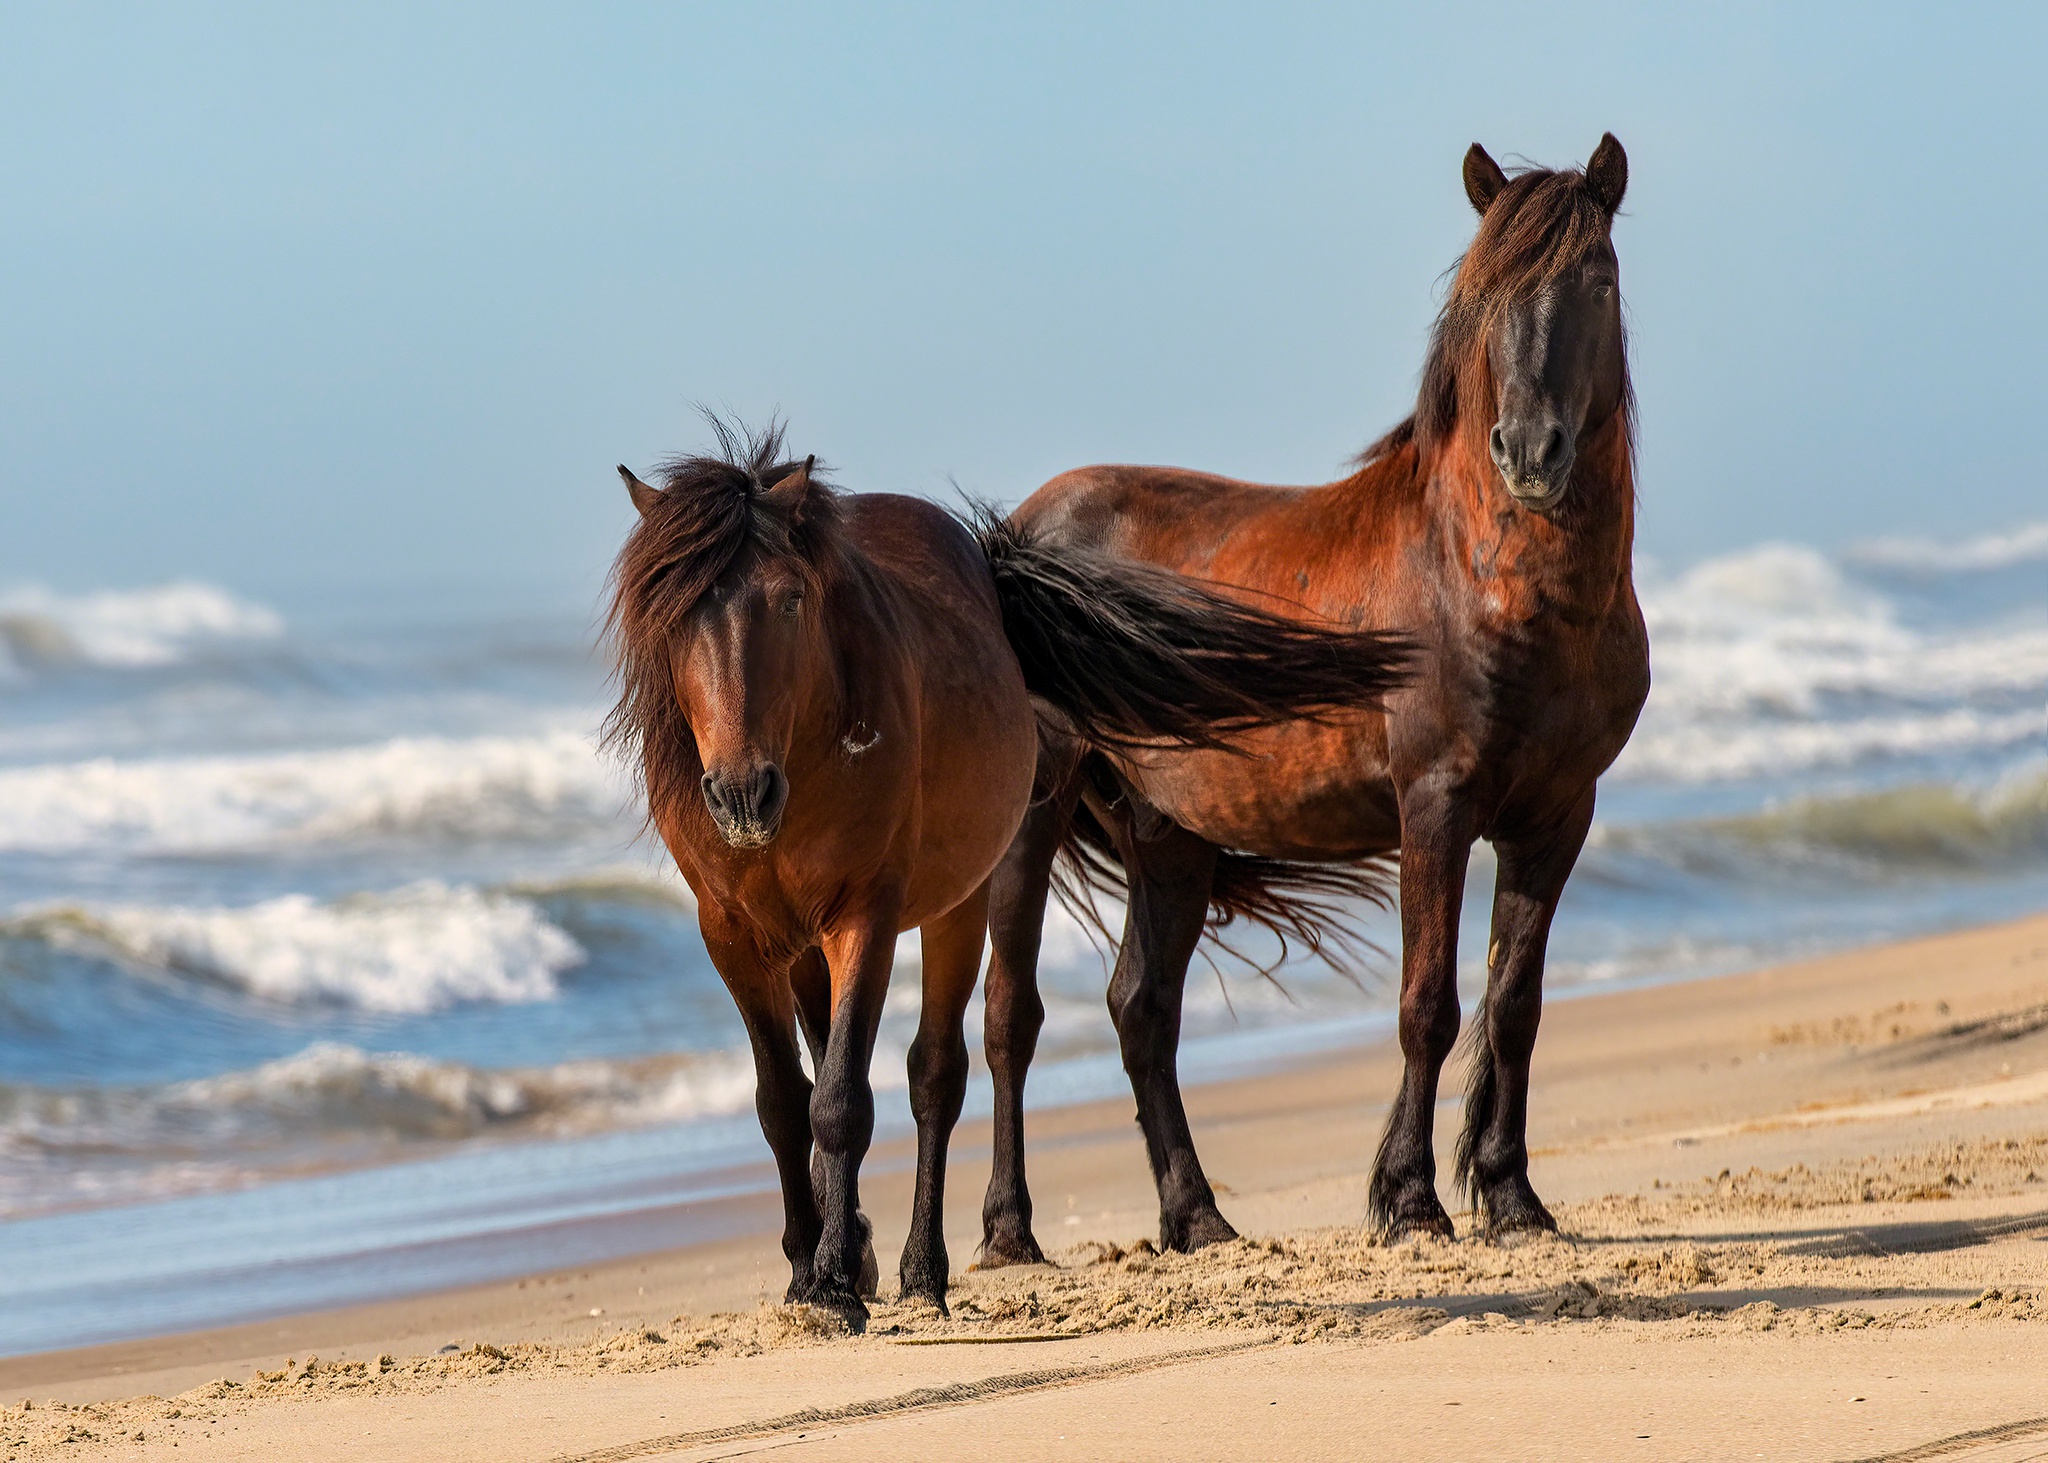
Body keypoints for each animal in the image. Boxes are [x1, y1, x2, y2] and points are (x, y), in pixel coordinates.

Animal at [598, 418, 1417, 1319]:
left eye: (790, 598)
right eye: (673, 617)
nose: (743, 792)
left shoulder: (866, 915)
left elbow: (843, 1098)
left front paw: (837, 1283)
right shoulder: (733, 936)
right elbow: (784, 1102)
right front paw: (809, 1273)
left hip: (956, 905)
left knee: (935, 1075)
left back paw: (922, 1270)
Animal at [970, 131, 1646, 1262]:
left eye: (1597, 279)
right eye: (1481, 296)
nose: (1528, 451)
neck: (1489, 577)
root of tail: (1015, 539)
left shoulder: (1556, 815)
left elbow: (1514, 1005)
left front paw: (1512, 1198)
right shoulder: (1434, 805)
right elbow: (1429, 1004)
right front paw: (1412, 1201)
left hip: (1169, 831)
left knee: (1140, 1009)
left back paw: (1198, 1218)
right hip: (1036, 810)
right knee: (1009, 1015)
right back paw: (1008, 1233)